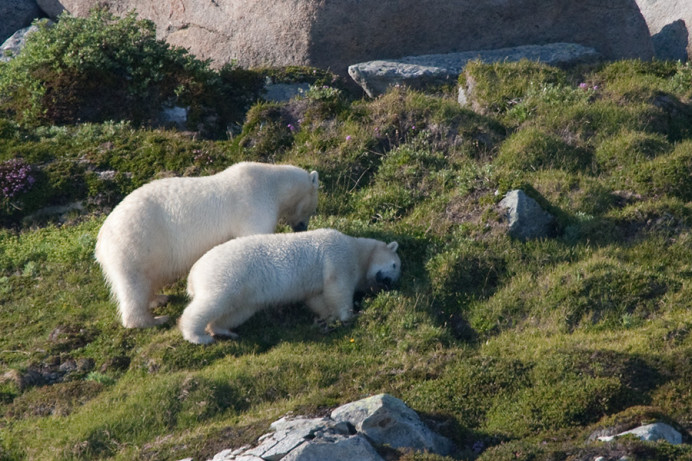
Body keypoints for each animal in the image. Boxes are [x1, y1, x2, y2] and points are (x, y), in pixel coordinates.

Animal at [94, 161, 319, 328]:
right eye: (312, 208)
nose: (301, 227)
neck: (271, 184)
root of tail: (101, 240)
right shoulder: (253, 204)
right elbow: (254, 235)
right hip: (136, 243)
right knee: (134, 283)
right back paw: (154, 320)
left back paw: (159, 298)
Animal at [177, 228, 401, 344]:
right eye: (395, 265)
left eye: (396, 271)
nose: (388, 282)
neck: (356, 249)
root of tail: (193, 273)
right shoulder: (338, 256)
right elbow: (338, 288)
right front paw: (349, 316)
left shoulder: (314, 286)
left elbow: (317, 298)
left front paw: (325, 319)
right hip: (227, 274)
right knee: (213, 301)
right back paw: (198, 336)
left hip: (246, 292)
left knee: (237, 310)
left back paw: (224, 330)